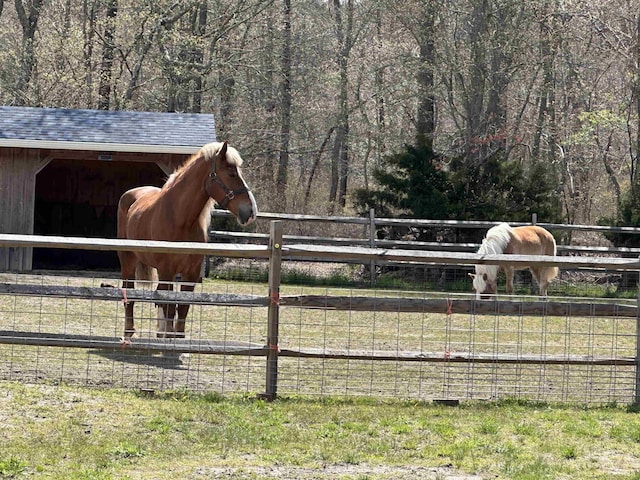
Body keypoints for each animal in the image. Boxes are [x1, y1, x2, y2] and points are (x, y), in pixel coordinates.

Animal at [116, 141, 256, 340]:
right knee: (129, 292)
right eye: (231, 173)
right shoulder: (167, 270)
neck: (179, 218)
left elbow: (182, 307)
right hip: (128, 260)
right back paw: (129, 331)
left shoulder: (191, 274)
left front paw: (177, 338)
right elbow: (169, 307)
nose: (250, 211)